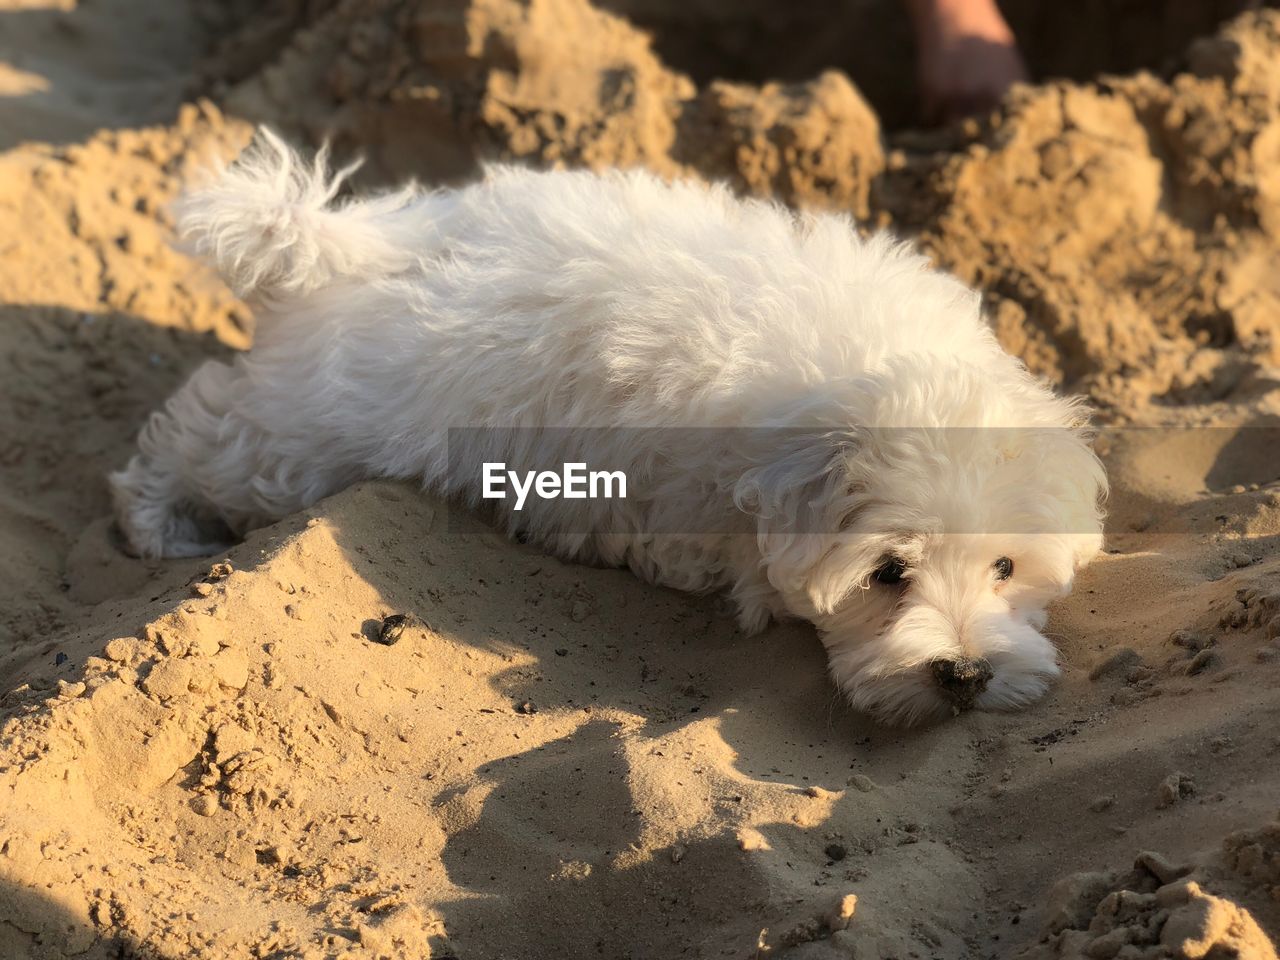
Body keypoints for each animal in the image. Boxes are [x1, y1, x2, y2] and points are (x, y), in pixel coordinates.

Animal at [115, 131, 1105, 727]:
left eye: (1006, 567)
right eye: (889, 574)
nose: (965, 674)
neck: (865, 371)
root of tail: (364, 248)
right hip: (312, 433)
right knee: (202, 429)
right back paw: (157, 525)